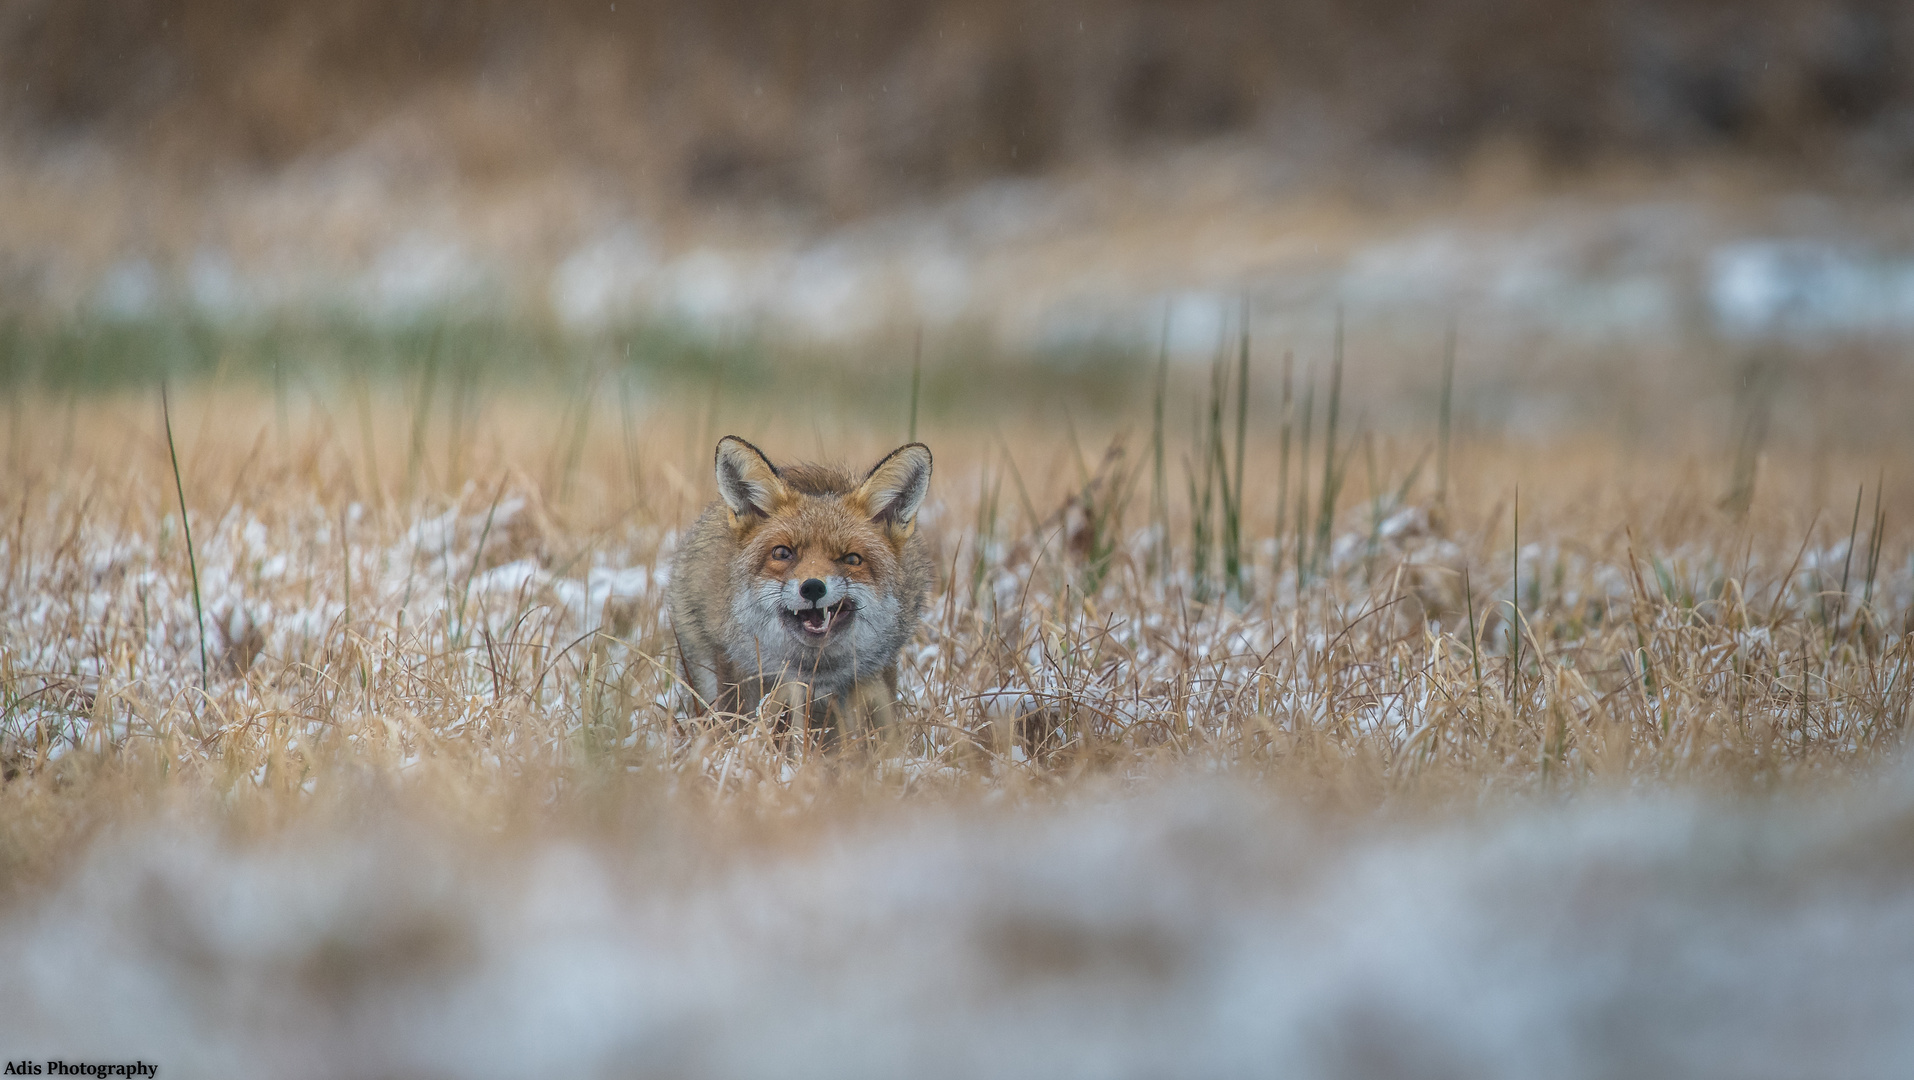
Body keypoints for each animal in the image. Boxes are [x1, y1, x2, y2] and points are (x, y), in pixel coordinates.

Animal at [669, 434, 937, 739]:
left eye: (852, 559)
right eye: (782, 553)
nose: (812, 588)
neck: (813, 670)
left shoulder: (873, 673)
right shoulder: (739, 667)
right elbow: (739, 723)